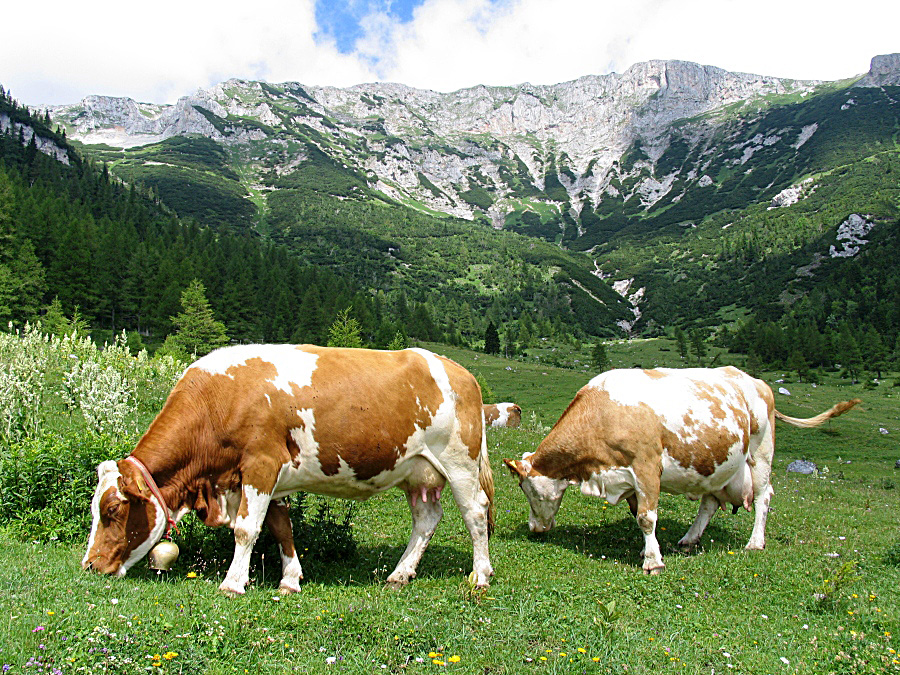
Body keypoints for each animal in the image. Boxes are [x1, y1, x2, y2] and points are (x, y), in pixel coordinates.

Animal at [83, 345, 495, 595]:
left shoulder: (261, 464)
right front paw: (290, 580)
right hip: (416, 472)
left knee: (475, 513)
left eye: (113, 509)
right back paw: (399, 574)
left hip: (459, 461)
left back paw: (481, 575)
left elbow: (246, 529)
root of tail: (459, 371)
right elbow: (281, 528)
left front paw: (233, 583)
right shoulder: (266, 478)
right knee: (426, 517)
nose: (90, 565)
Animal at [504, 366, 859, 574]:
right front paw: (650, 549)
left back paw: (755, 542)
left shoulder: (646, 466)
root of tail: (755, 381)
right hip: (716, 465)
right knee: (709, 503)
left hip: (761, 451)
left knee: (763, 497)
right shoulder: (629, 479)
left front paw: (652, 562)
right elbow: (638, 513)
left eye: (526, 489)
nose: (534, 528)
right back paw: (689, 538)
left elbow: (647, 517)